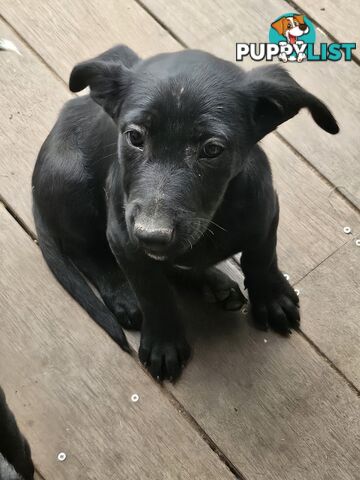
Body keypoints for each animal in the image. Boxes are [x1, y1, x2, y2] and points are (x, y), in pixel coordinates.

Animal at [32, 47, 338, 380]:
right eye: (134, 137)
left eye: (212, 149)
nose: (152, 235)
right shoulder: (123, 237)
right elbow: (153, 292)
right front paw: (163, 343)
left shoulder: (267, 212)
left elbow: (261, 257)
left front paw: (271, 298)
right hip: (72, 183)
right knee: (86, 253)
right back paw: (125, 296)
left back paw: (213, 283)